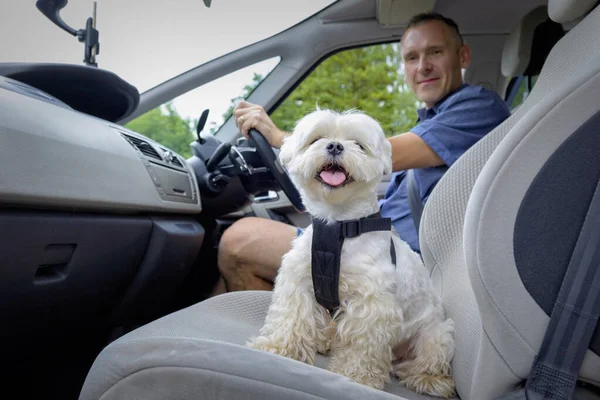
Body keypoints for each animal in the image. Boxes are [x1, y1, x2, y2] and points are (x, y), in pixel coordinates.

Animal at [246, 108, 458, 396]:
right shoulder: (298, 284)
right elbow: (291, 319)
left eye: (359, 144)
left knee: (429, 357)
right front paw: (278, 349)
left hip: (436, 334)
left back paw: (426, 378)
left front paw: (355, 378)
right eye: (316, 139)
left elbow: (361, 347)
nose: (335, 146)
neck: (338, 226)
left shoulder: (371, 304)